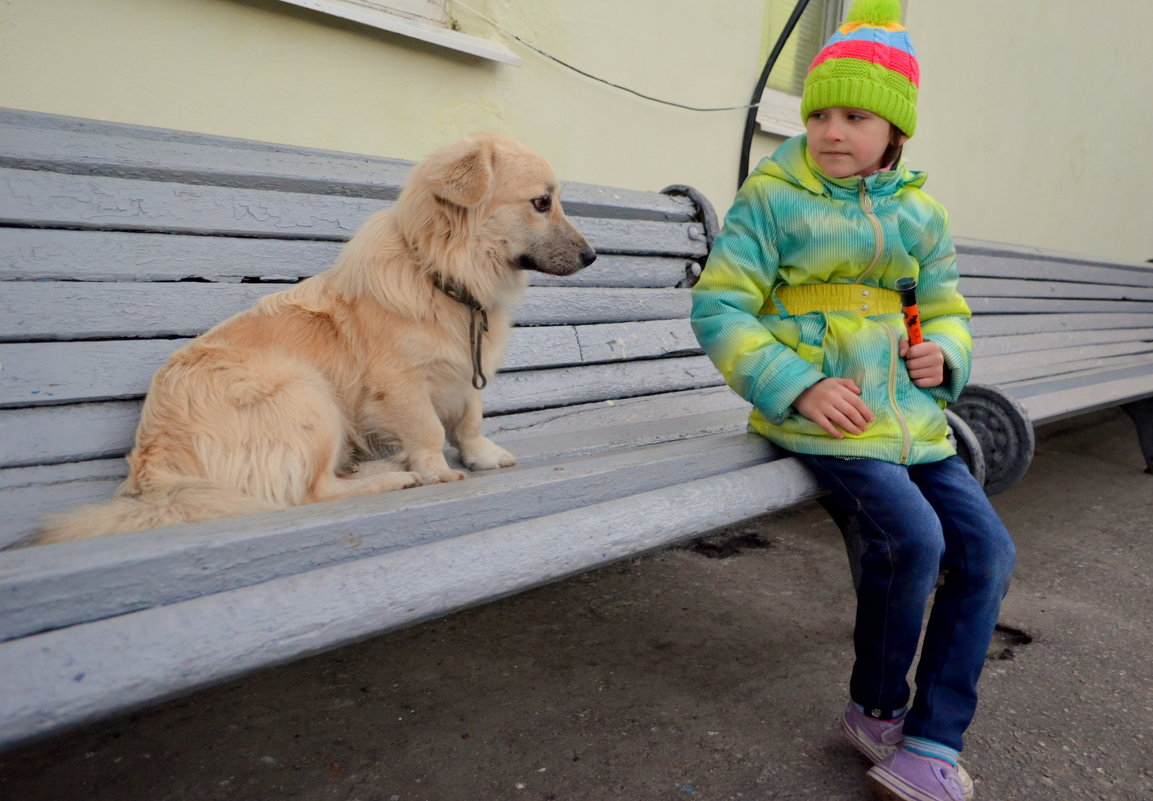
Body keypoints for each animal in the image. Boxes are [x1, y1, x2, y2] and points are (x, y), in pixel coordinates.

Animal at [36, 133, 594, 546]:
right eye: (541, 203)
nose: (592, 257)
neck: (442, 276)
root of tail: (154, 474)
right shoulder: (402, 385)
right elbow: (430, 431)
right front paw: (438, 471)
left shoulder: (465, 371)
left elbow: (470, 420)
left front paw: (480, 456)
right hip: (309, 394)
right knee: (312, 493)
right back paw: (392, 475)